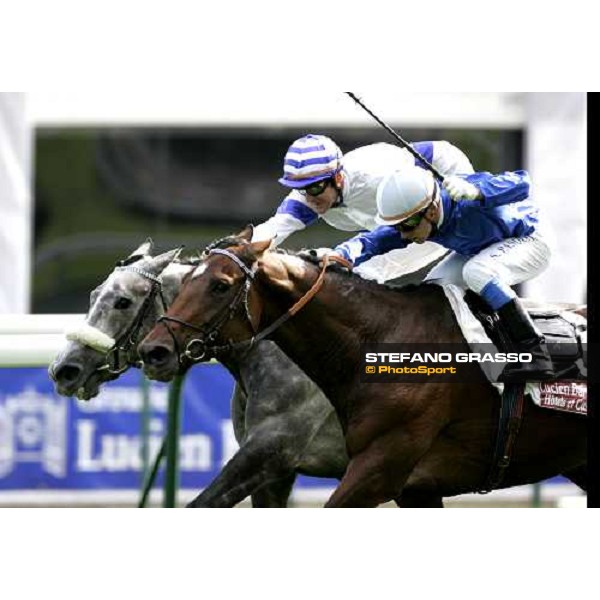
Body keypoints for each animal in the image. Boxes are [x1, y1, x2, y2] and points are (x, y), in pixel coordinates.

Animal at [137, 229, 584, 506]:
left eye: (221, 285)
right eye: (187, 281)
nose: (153, 351)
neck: (381, 341)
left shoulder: (377, 467)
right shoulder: (415, 488)